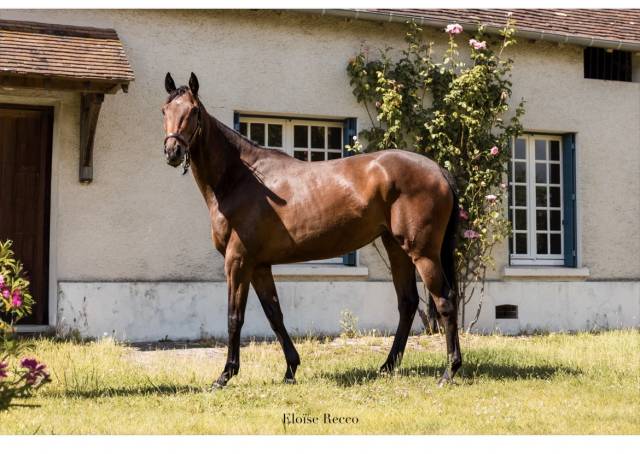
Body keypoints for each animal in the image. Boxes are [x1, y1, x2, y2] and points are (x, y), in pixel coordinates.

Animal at [161, 72, 462, 388]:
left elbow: (235, 317)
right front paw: (290, 369)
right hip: (396, 247)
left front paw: (225, 375)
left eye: (194, 111)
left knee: (445, 301)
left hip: (422, 252)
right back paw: (387, 366)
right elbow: (274, 314)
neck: (240, 179)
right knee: (407, 302)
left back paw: (448, 372)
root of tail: (439, 171)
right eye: (164, 111)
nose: (172, 151)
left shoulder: (238, 261)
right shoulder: (259, 265)